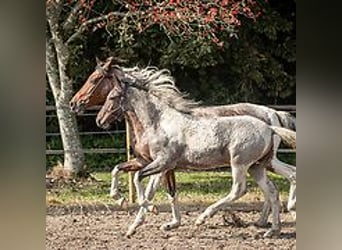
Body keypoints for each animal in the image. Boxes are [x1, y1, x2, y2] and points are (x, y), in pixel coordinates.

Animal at [70, 57, 296, 217]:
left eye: (94, 79)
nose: (74, 103)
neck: (156, 121)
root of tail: (272, 115)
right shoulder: (147, 161)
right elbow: (120, 170)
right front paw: (123, 201)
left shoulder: (160, 163)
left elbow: (148, 186)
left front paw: (148, 208)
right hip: (263, 162)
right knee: (282, 180)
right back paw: (269, 220)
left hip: (249, 163)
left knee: (268, 184)